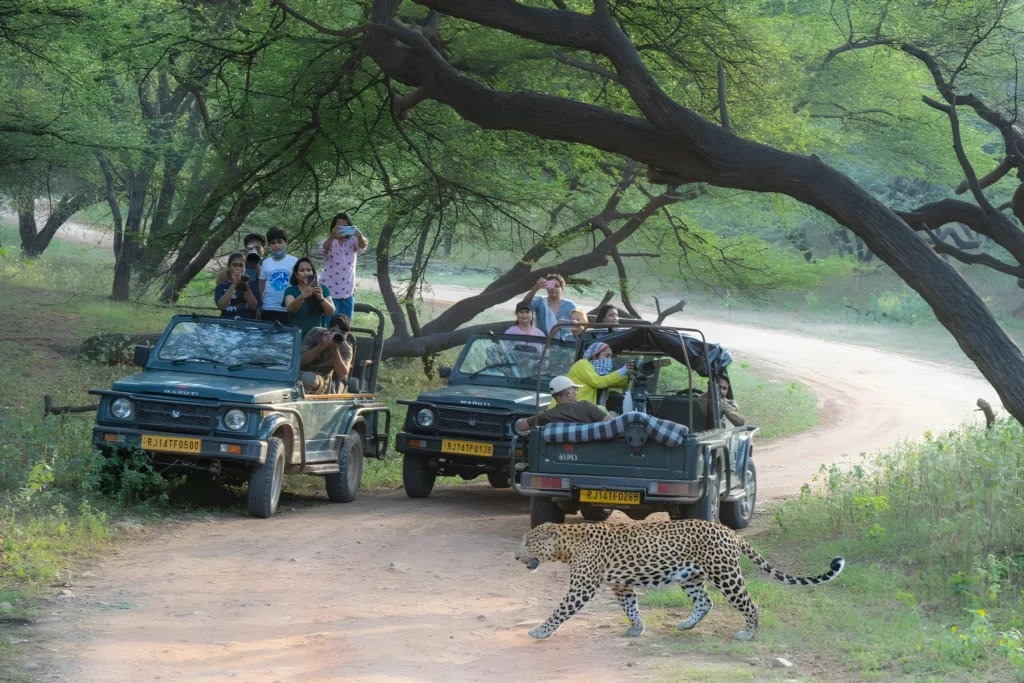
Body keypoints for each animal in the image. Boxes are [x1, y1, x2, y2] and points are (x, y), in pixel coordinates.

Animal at [515, 519, 844, 641]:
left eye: (528, 543)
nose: (516, 557)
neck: (567, 545)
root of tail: (729, 531)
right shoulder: (621, 585)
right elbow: (631, 607)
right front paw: (637, 628)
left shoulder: (582, 587)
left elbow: (560, 611)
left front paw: (540, 631)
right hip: (691, 577)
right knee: (705, 602)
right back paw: (687, 624)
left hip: (725, 574)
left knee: (751, 605)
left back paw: (748, 634)